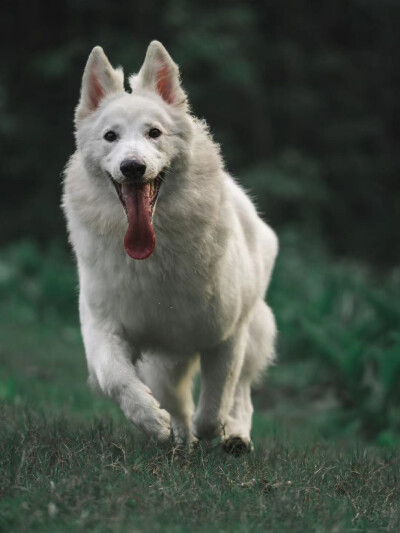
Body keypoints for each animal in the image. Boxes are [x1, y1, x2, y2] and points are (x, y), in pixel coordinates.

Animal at [62, 41, 276, 454]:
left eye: (154, 133)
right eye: (110, 136)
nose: (132, 167)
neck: (155, 256)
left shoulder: (226, 336)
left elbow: (216, 401)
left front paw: (211, 430)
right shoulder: (102, 329)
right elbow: (116, 378)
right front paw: (150, 420)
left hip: (253, 331)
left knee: (241, 395)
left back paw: (235, 437)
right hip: (163, 366)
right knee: (177, 401)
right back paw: (179, 439)